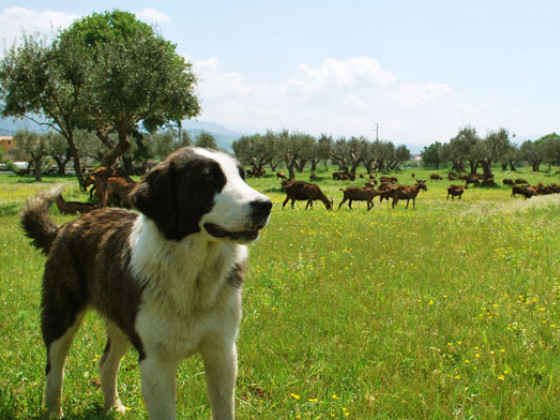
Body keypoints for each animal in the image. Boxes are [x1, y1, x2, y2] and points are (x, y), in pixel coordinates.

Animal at [23, 146, 272, 418]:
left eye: (242, 176)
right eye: (208, 179)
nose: (265, 205)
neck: (193, 273)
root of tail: (66, 227)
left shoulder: (222, 351)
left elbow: (224, 408)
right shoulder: (155, 362)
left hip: (121, 322)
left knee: (106, 362)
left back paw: (113, 406)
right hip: (61, 317)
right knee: (54, 367)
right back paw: (53, 410)